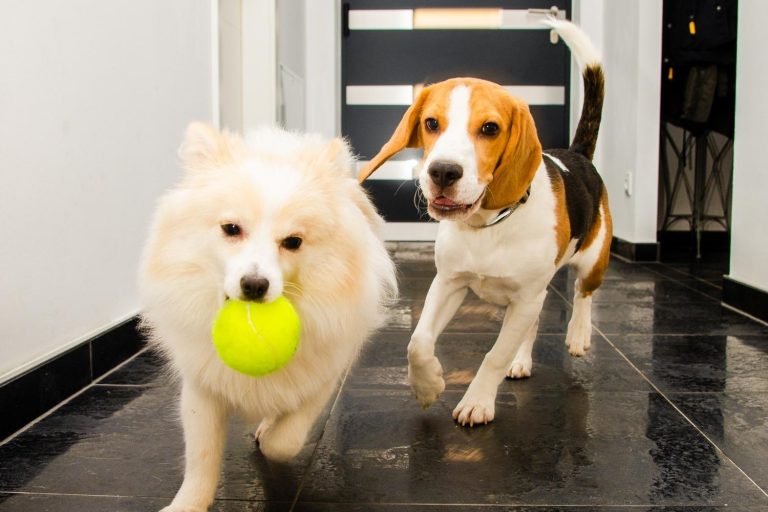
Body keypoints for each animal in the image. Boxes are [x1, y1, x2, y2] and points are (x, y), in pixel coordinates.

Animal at [139, 122, 400, 510]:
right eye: (231, 229)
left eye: (293, 241)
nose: (254, 284)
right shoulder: (202, 385)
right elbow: (201, 455)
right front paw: (188, 504)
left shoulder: (324, 374)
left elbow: (286, 440)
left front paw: (270, 438)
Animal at [358, 20, 612, 426]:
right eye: (431, 123)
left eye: (490, 129)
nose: (443, 172)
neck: (488, 225)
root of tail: (578, 155)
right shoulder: (449, 283)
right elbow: (418, 342)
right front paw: (427, 385)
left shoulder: (525, 298)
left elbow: (493, 356)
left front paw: (477, 401)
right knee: (533, 325)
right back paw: (521, 361)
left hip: (592, 258)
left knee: (583, 292)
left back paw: (578, 334)